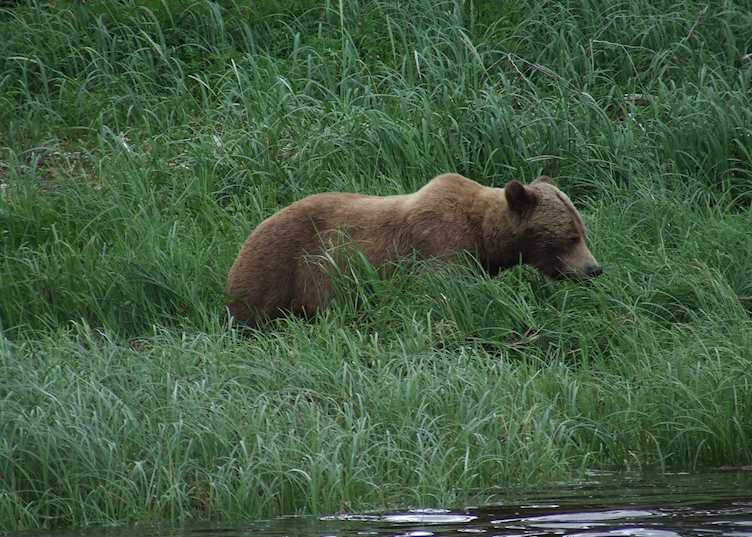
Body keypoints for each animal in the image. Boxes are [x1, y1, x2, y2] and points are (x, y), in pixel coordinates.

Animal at [226, 173, 602, 326]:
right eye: (571, 237)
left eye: (583, 231)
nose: (594, 269)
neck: (484, 235)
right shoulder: (441, 242)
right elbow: (439, 294)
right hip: (284, 266)